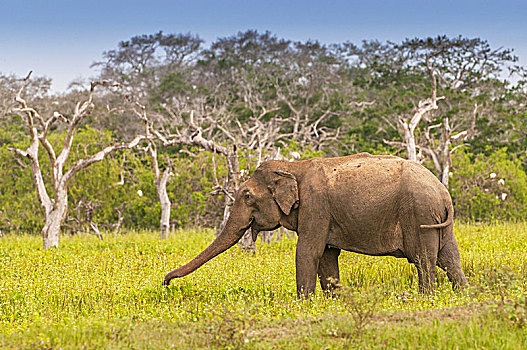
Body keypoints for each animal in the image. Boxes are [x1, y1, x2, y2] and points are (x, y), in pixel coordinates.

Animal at [163, 153, 468, 296]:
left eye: (247, 196)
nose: (166, 282)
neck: (292, 167)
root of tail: (444, 194)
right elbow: (328, 256)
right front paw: (334, 300)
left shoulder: (316, 207)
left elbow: (308, 252)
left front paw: (303, 303)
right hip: (436, 220)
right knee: (449, 258)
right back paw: (461, 294)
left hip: (419, 215)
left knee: (424, 259)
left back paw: (426, 297)